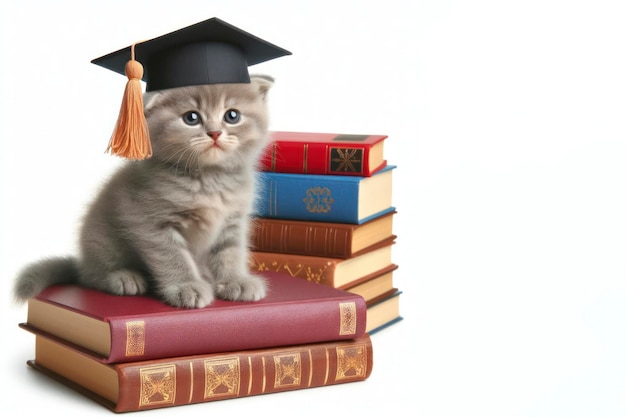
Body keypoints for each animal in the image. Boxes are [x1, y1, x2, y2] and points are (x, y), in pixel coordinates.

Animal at [12, 75, 272, 308]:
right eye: (191, 118)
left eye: (232, 116)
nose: (215, 133)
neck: (208, 179)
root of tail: (81, 262)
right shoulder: (150, 221)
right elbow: (173, 257)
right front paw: (186, 287)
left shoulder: (232, 222)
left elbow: (230, 253)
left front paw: (236, 281)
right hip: (101, 239)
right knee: (90, 276)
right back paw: (123, 277)